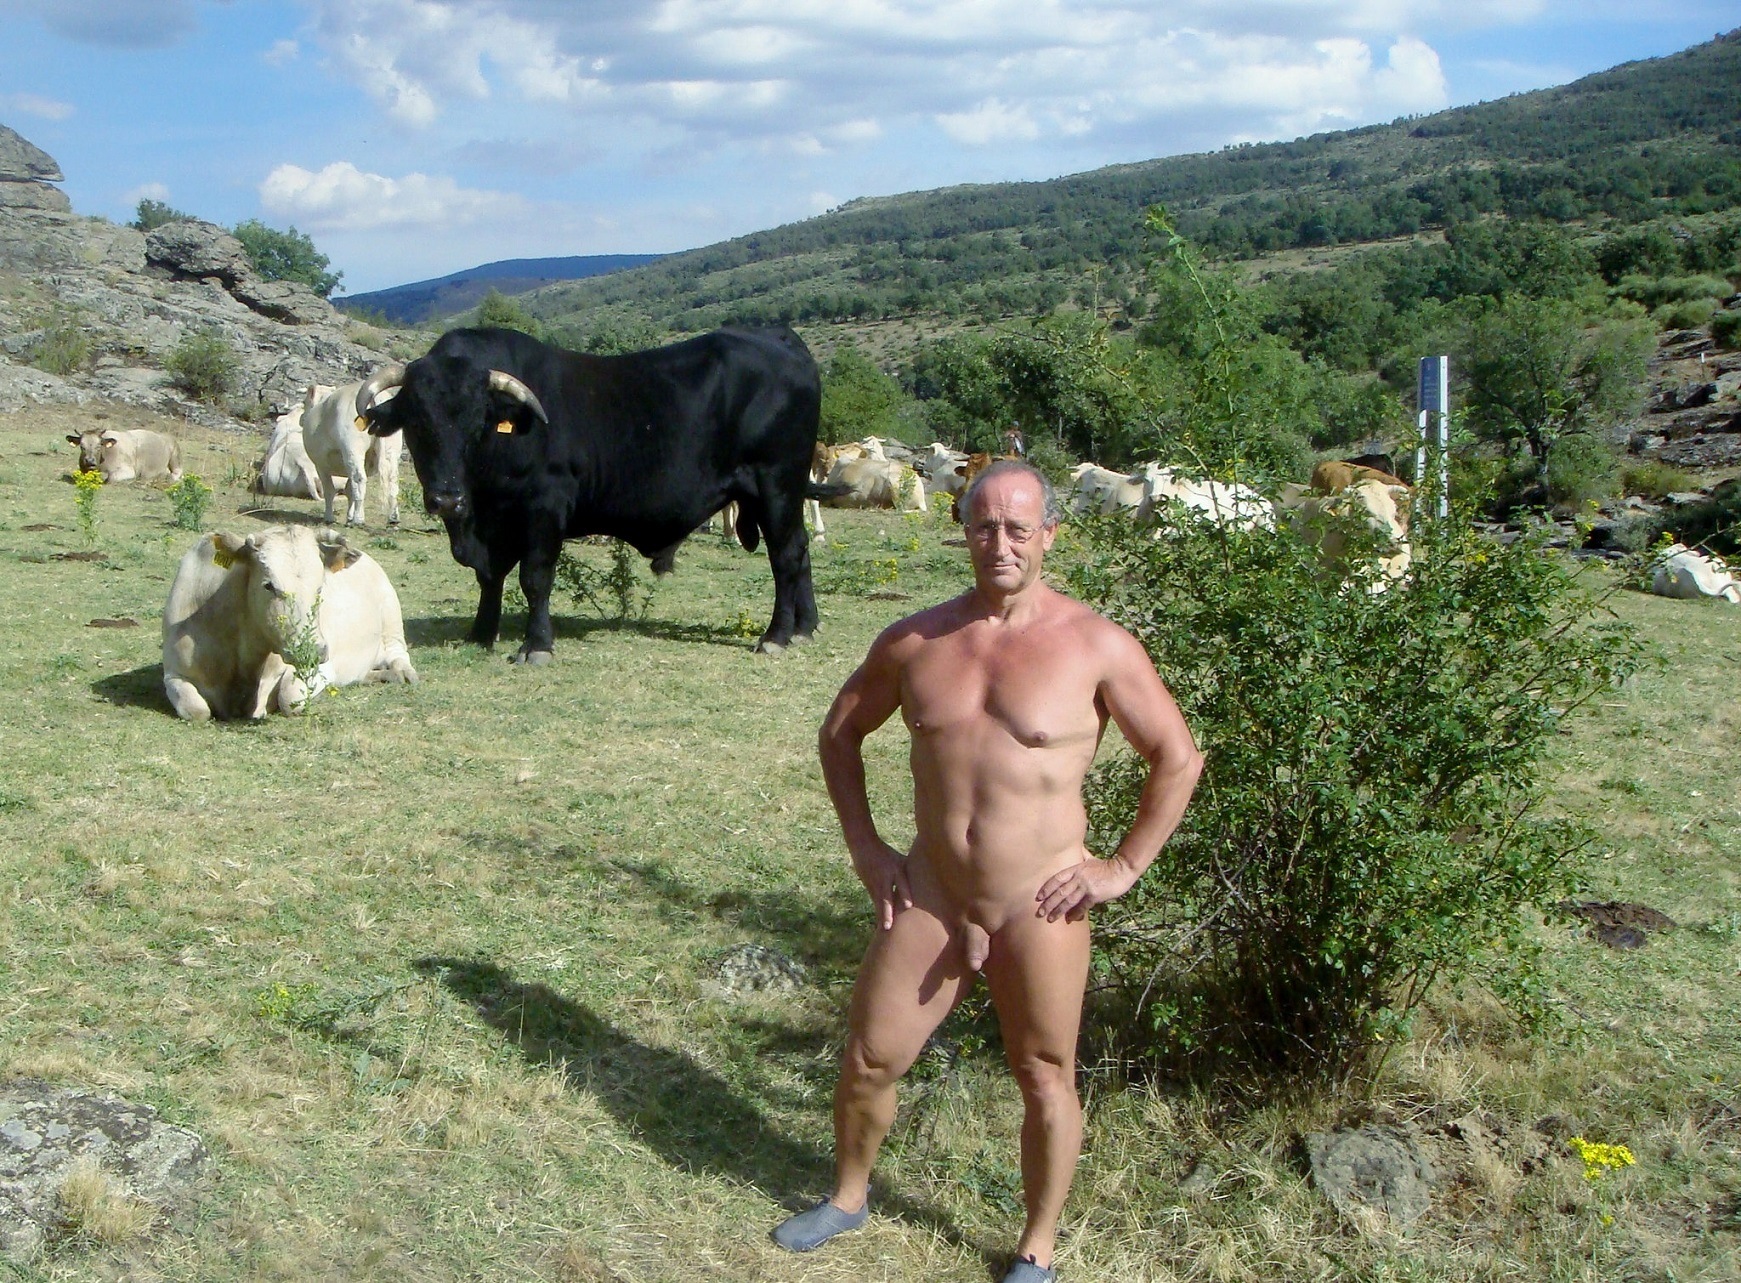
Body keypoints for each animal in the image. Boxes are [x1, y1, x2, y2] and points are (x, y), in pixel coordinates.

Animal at [161, 525, 417, 722]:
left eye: (320, 587)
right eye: (269, 585)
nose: (312, 651)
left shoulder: (319, 667)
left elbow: (288, 697)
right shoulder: (173, 673)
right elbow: (198, 711)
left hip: (392, 617)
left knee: (398, 653)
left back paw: (402, 674)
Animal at [299, 381, 404, 527]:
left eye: (304, 402)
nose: (301, 418)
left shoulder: (321, 465)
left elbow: (329, 490)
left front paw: (329, 517)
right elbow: (349, 490)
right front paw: (349, 517)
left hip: (353, 449)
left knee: (359, 479)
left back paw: (359, 519)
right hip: (391, 449)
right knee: (392, 479)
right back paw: (393, 518)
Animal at [354, 325, 827, 660]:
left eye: (478, 422)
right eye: (416, 422)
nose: (446, 500)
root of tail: (779, 338)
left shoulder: (544, 509)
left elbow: (534, 578)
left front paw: (536, 645)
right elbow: (490, 577)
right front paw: (481, 632)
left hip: (776, 485)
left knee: (785, 555)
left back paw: (776, 636)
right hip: (779, 495)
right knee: (800, 549)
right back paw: (804, 628)